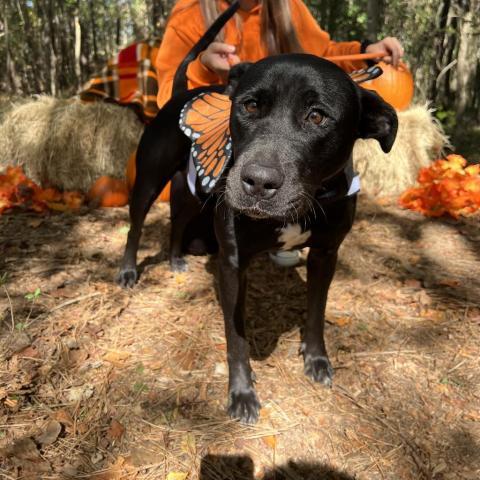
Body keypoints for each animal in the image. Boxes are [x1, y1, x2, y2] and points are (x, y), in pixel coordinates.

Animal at [117, 7, 398, 422]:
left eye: (317, 117)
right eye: (250, 106)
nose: (257, 182)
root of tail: (182, 91)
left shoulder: (325, 254)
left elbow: (316, 311)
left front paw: (316, 358)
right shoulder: (233, 264)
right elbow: (236, 336)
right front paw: (241, 392)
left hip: (193, 192)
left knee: (178, 221)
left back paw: (176, 258)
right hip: (150, 179)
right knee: (135, 226)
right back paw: (127, 271)